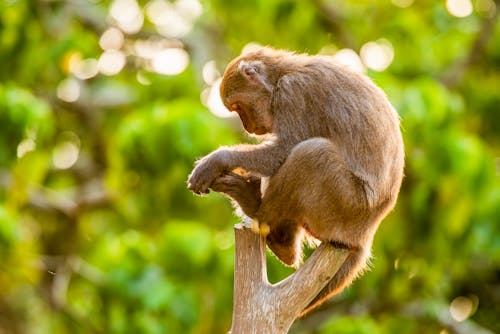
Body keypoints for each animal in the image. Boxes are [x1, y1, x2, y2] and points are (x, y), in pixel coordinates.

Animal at [186, 47, 404, 316]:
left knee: (310, 153)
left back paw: (257, 210)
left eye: (237, 106)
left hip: (346, 207)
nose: (248, 126)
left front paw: (217, 160)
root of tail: (364, 235)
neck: (283, 74)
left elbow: (283, 150)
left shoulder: (293, 94)